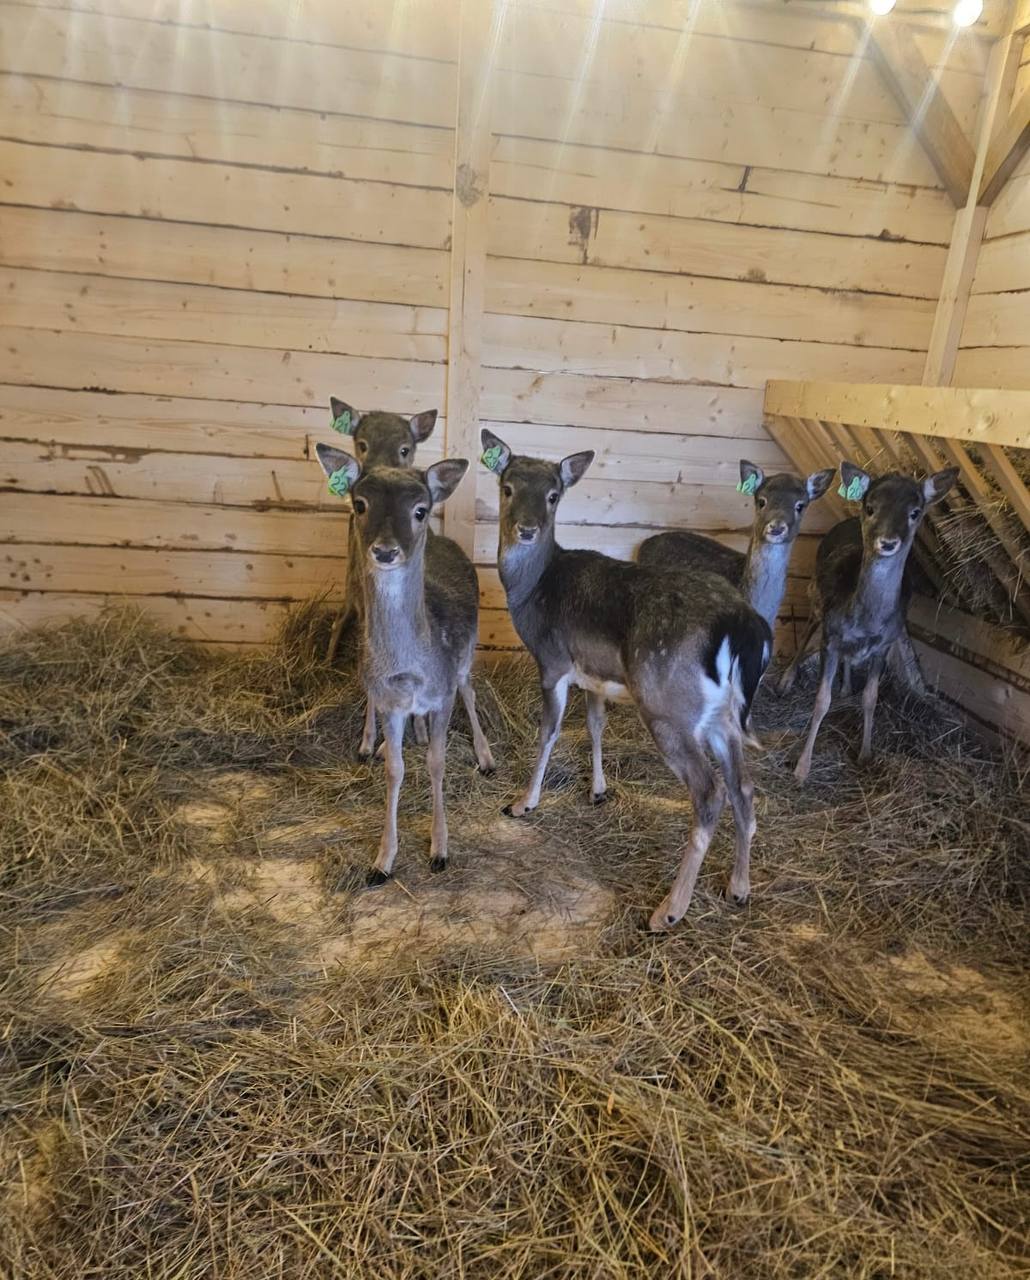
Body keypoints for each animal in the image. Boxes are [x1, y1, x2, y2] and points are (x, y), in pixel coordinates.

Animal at [313, 445, 493, 885]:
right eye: (360, 504)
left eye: (420, 509)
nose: (385, 550)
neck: (412, 667)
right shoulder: (390, 700)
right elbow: (396, 769)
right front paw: (382, 861)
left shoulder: (442, 693)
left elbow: (437, 762)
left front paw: (440, 850)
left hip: (466, 654)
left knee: (470, 688)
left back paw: (485, 757)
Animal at [481, 430, 772, 931]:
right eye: (507, 487)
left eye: (554, 495)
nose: (527, 528)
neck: (532, 592)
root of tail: (742, 624)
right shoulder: (595, 676)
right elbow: (595, 727)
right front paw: (598, 791)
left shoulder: (553, 660)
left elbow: (548, 732)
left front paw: (523, 803)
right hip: (722, 716)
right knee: (744, 788)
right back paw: (738, 888)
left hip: (667, 707)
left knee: (710, 792)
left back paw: (668, 911)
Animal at [783, 460, 962, 778]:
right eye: (870, 507)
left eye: (915, 512)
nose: (888, 542)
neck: (865, 621)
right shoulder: (830, 637)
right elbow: (821, 700)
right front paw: (802, 767)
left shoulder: (883, 645)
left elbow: (871, 698)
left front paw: (866, 754)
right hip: (815, 594)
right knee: (806, 630)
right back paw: (786, 680)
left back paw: (845, 687)